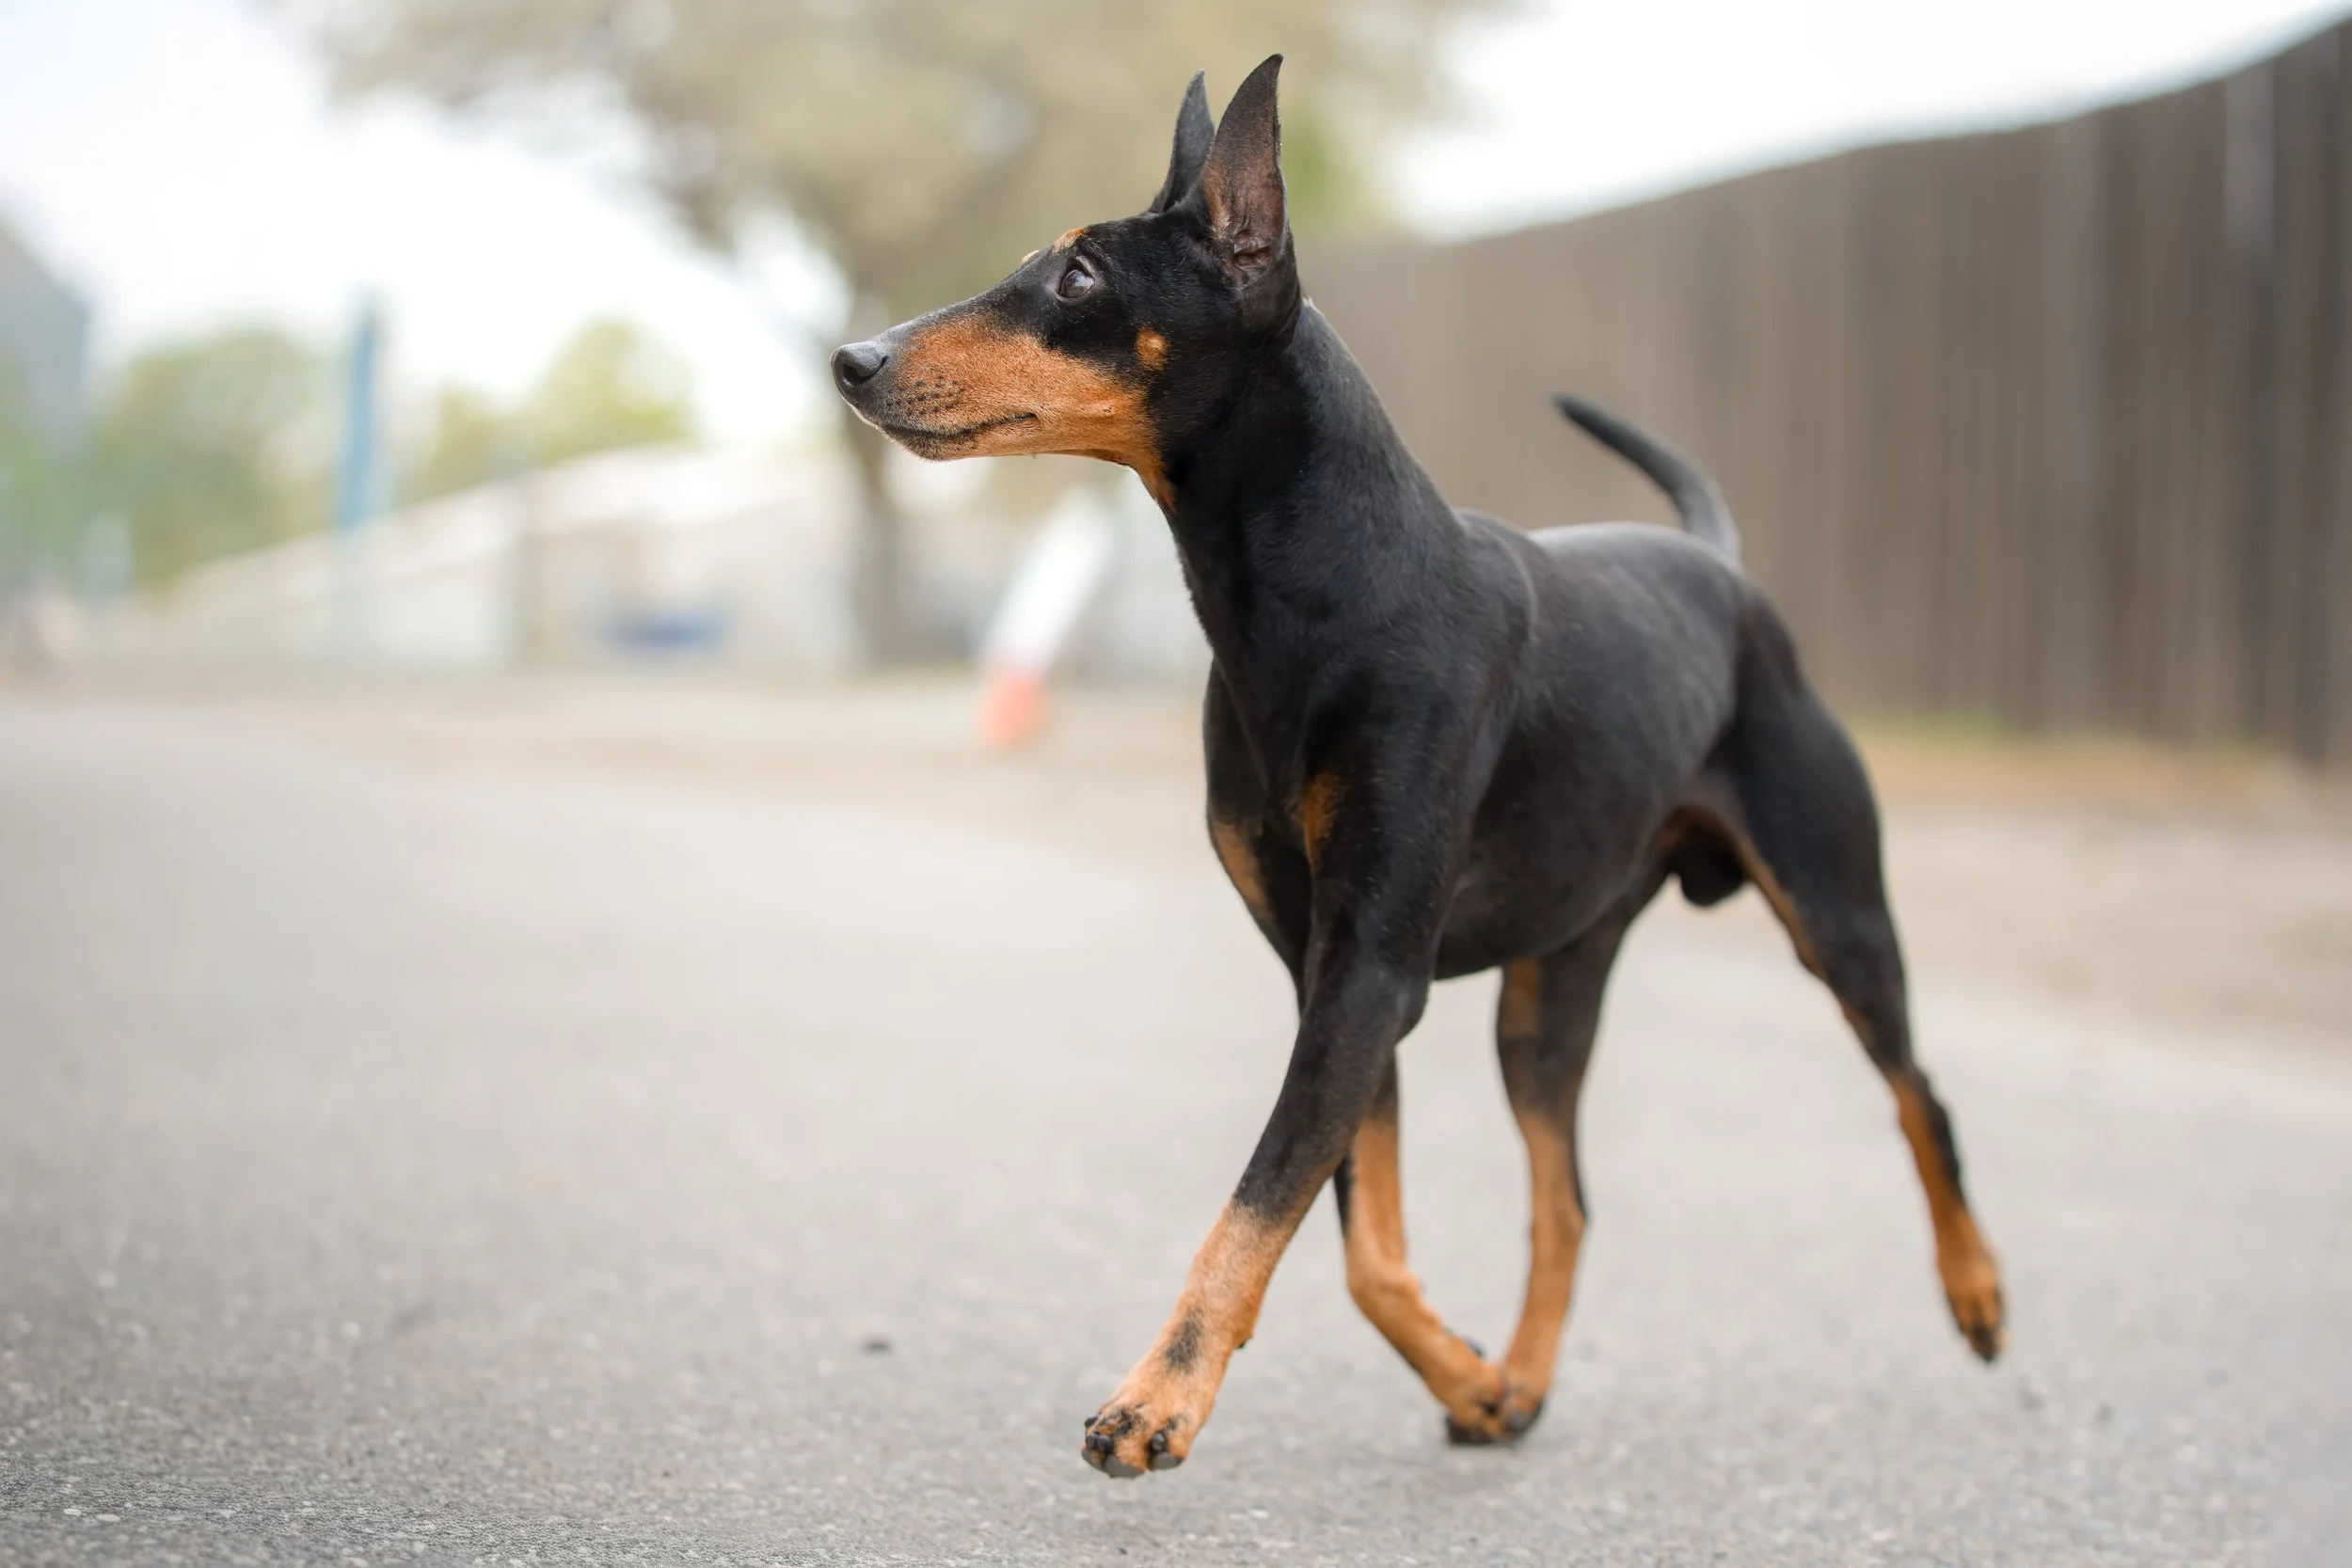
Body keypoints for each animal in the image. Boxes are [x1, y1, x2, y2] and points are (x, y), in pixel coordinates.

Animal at [832, 56, 2005, 1479]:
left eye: (1078, 276)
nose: (851, 358)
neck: (1314, 600)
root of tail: (1723, 570)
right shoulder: (1327, 975)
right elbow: (1363, 1251)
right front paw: (1470, 1379)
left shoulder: (1369, 974)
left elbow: (1258, 1206)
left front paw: (1156, 1398)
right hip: (1545, 1003)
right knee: (1568, 1199)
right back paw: (1525, 1378)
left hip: (1838, 918)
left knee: (1919, 1096)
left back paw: (1978, 1293)